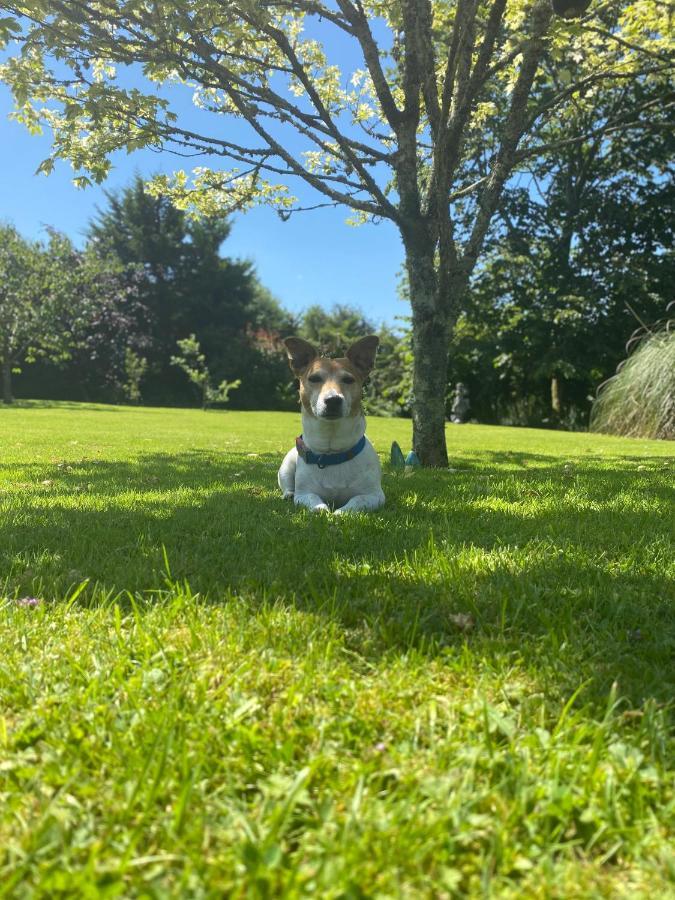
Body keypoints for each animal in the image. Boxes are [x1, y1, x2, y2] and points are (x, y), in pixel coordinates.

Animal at [278, 336, 386, 512]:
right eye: (314, 378)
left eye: (348, 380)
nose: (333, 399)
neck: (332, 454)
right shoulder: (304, 494)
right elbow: (313, 500)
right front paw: (322, 509)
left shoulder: (374, 496)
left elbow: (356, 502)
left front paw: (339, 512)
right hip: (286, 467)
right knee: (287, 485)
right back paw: (288, 494)